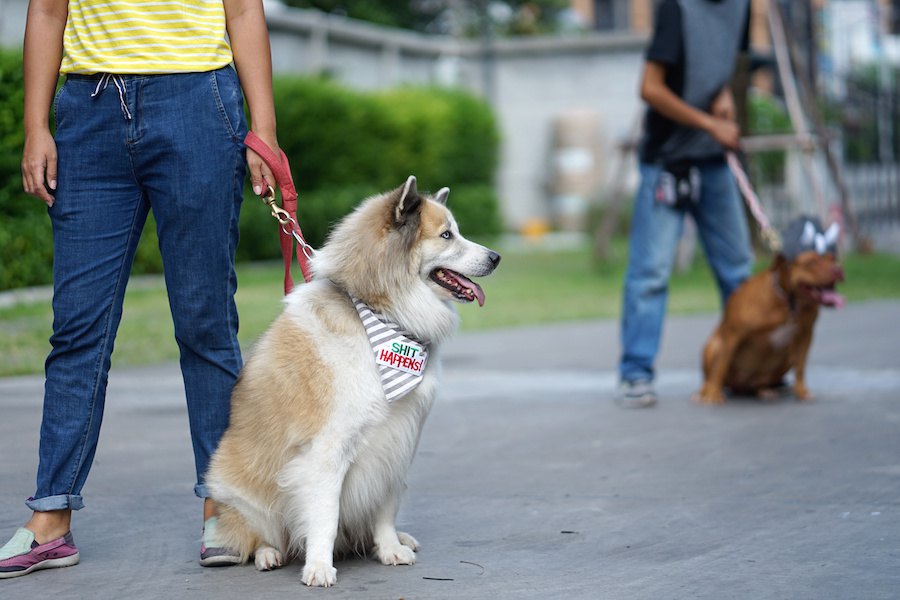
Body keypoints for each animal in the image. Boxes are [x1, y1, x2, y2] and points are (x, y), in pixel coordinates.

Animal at [696, 218, 844, 406]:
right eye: (811, 262)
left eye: (834, 258)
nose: (838, 269)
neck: (787, 302)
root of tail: (740, 386)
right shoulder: (732, 335)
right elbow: (721, 365)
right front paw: (713, 394)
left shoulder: (805, 334)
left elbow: (801, 367)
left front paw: (802, 392)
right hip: (713, 345)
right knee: (713, 373)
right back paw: (705, 390)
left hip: (787, 355)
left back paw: (765, 390)